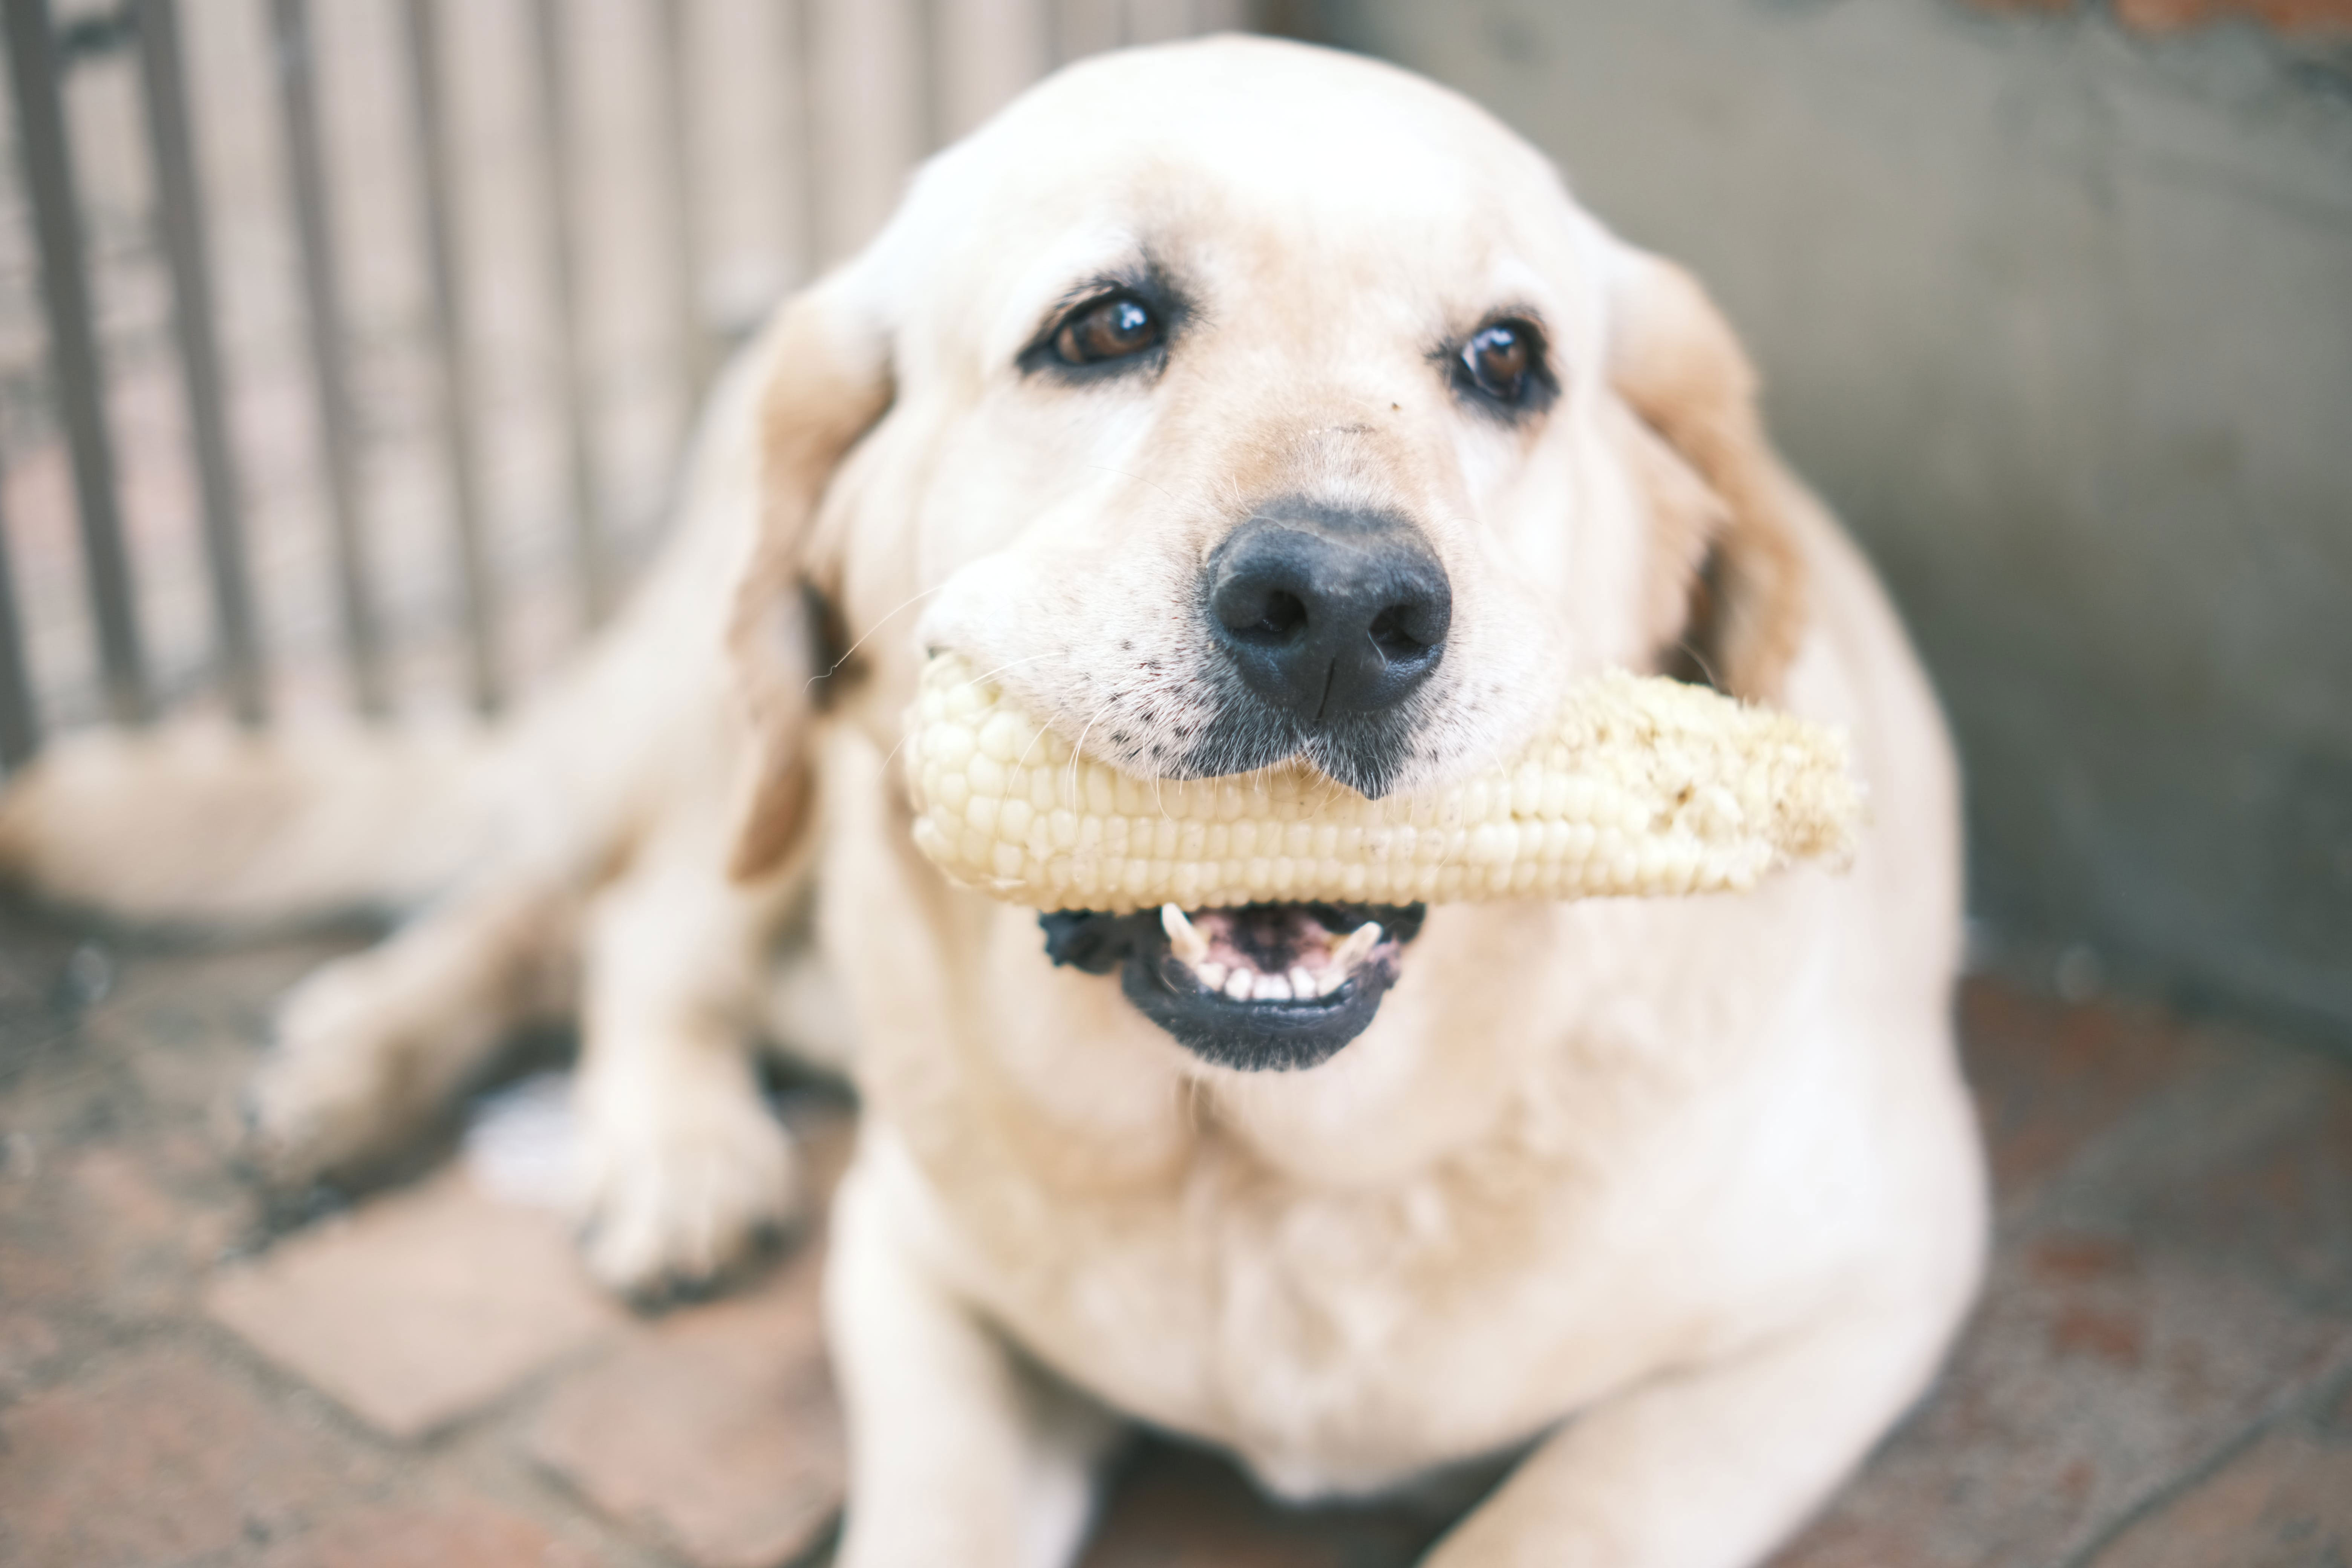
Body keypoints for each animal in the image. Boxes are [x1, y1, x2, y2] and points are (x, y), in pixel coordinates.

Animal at [0, 37, 1985, 1568]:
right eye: (1104, 326)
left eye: (1508, 362)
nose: (1343, 611)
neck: (1254, 1183)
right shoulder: (910, 1268)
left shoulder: (1855, 1300)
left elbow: (1558, 1518)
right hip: (752, 726)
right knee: (616, 904)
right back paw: (525, 1105)